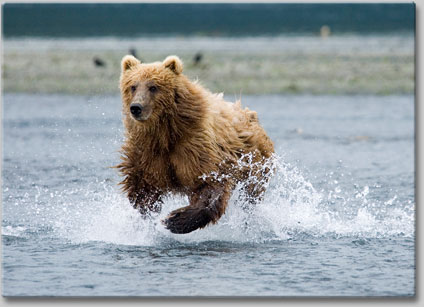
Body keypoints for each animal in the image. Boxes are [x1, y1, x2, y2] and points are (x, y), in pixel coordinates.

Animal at [116, 55, 274, 235]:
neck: (166, 134)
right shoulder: (146, 152)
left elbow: (209, 185)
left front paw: (174, 220)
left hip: (256, 163)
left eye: (153, 87)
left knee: (251, 194)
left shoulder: (195, 146)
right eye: (133, 86)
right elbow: (142, 187)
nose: (136, 108)